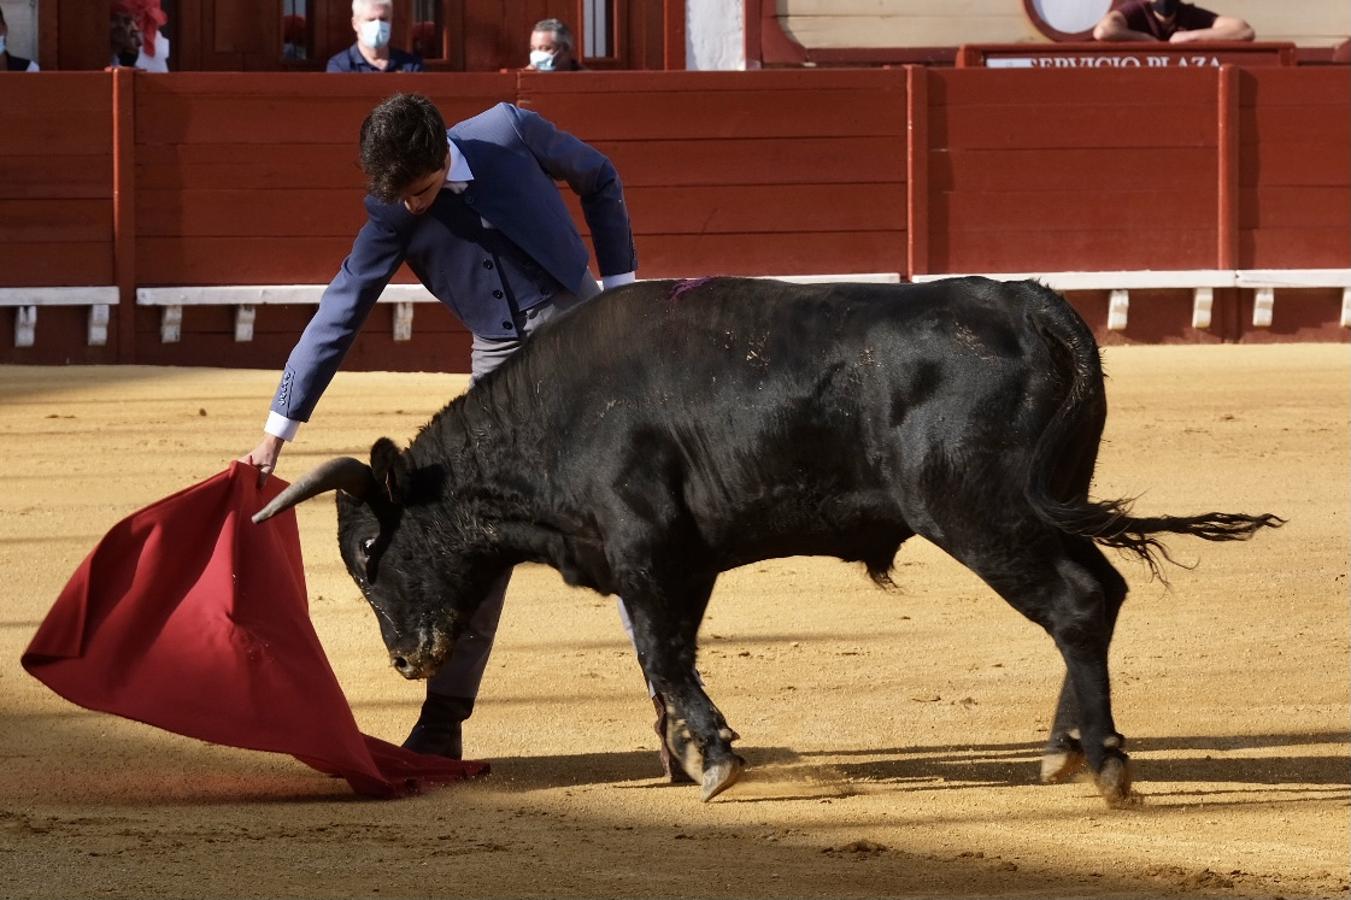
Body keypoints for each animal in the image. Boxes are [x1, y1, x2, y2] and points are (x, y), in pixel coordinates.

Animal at [251, 277, 1275, 800]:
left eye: (367, 554)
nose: (405, 660)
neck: (550, 419)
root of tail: (1034, 306)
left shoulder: (647, 553)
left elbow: (664, 658)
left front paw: (711, 759)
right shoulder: (680, 563)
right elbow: (669, 655)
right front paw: (686, 753)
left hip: (979, 512)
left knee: (1077, 600)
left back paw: (1103, 762)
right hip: (1042, 501)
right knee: (1092, 600)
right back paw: (1062, 749)